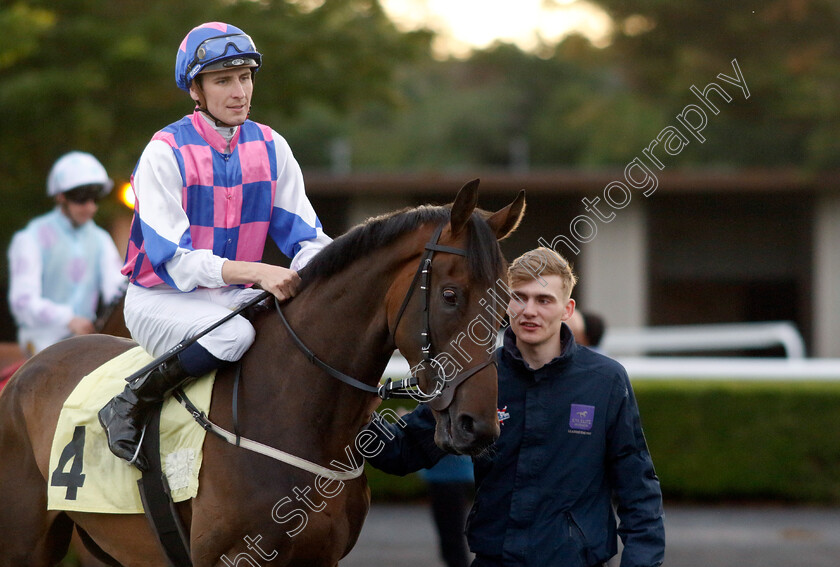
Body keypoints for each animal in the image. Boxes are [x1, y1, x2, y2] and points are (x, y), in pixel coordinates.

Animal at [0, 182, 524, 567]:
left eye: (504, 305)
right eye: (451, 295)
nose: (478, 426)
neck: (294, 415)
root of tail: (29, 368)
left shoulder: (320, 559)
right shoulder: (234, 559)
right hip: (25, 544)